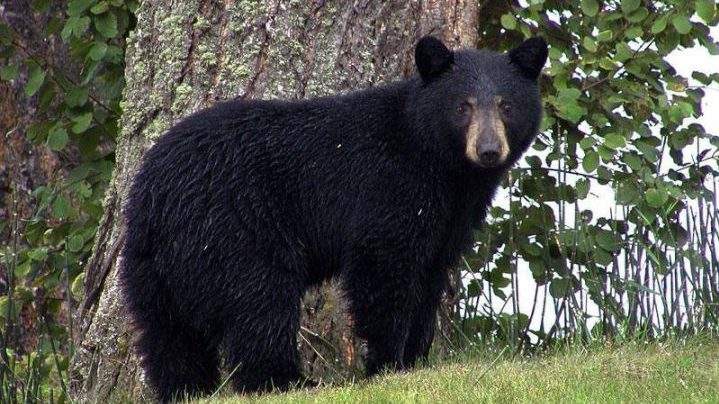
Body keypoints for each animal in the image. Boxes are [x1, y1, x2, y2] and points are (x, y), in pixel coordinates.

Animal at [120, 35, 548, 401]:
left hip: (152, 264)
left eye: (506, 105)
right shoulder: (388, 189)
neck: (440, 165)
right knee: (259, 301)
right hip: (234, 228)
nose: (489, 150)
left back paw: (187, 389)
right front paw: (387, 365)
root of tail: (154, 192)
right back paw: (287, 381)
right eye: (463, 106)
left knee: (167, 333)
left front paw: (416, 360)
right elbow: (383, 270)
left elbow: (429, 276)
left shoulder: (449, 218)